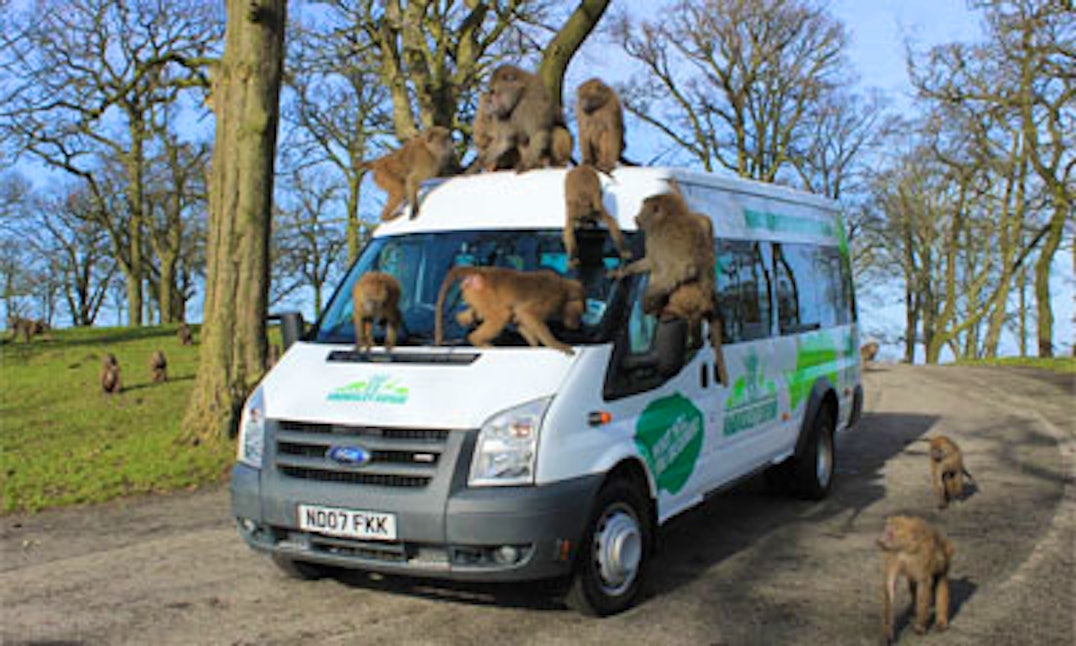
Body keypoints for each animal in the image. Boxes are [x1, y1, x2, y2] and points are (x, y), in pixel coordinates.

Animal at [432, 265, 585, 355]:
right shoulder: (552, 299)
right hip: (484, 293)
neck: (565, 289)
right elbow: (526, 314)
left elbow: (520, 319)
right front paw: (556, 345)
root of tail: (482, 271)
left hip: (475, 294)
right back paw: (477, 340)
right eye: (579, 314)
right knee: (502, 315)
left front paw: (535, 346)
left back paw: (464, 320)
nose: (576, 326)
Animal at [878, 512, 955, 641]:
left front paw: (921, 626)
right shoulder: (893, 555)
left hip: (946, 553)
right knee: (914, 585)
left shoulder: (922, 555)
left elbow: (924, 583)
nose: (880, 541)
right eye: (886, 531)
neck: (905, 547)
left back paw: (941, 621)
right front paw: (887, 633)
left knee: (941, 580)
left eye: (890, 534)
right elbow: (889, 584)